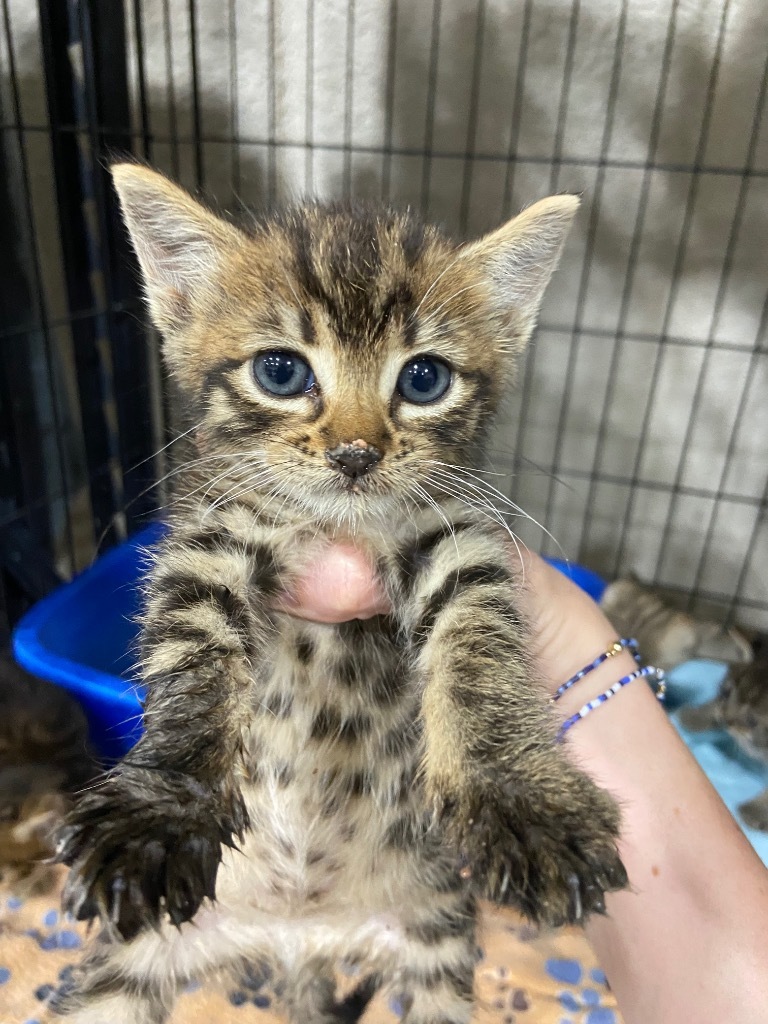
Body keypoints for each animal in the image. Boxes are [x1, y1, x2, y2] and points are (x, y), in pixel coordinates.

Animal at [57, 167, 626, 1024]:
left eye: (424, 379)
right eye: (281, 372)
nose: (356, 452)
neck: (335, 525)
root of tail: (299, 936)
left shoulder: (457, 538)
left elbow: (482, 658)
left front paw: (527, 801)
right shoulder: (210, 537)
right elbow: (193, 663)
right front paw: (162, 809)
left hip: (435, 941)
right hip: (128, 966)